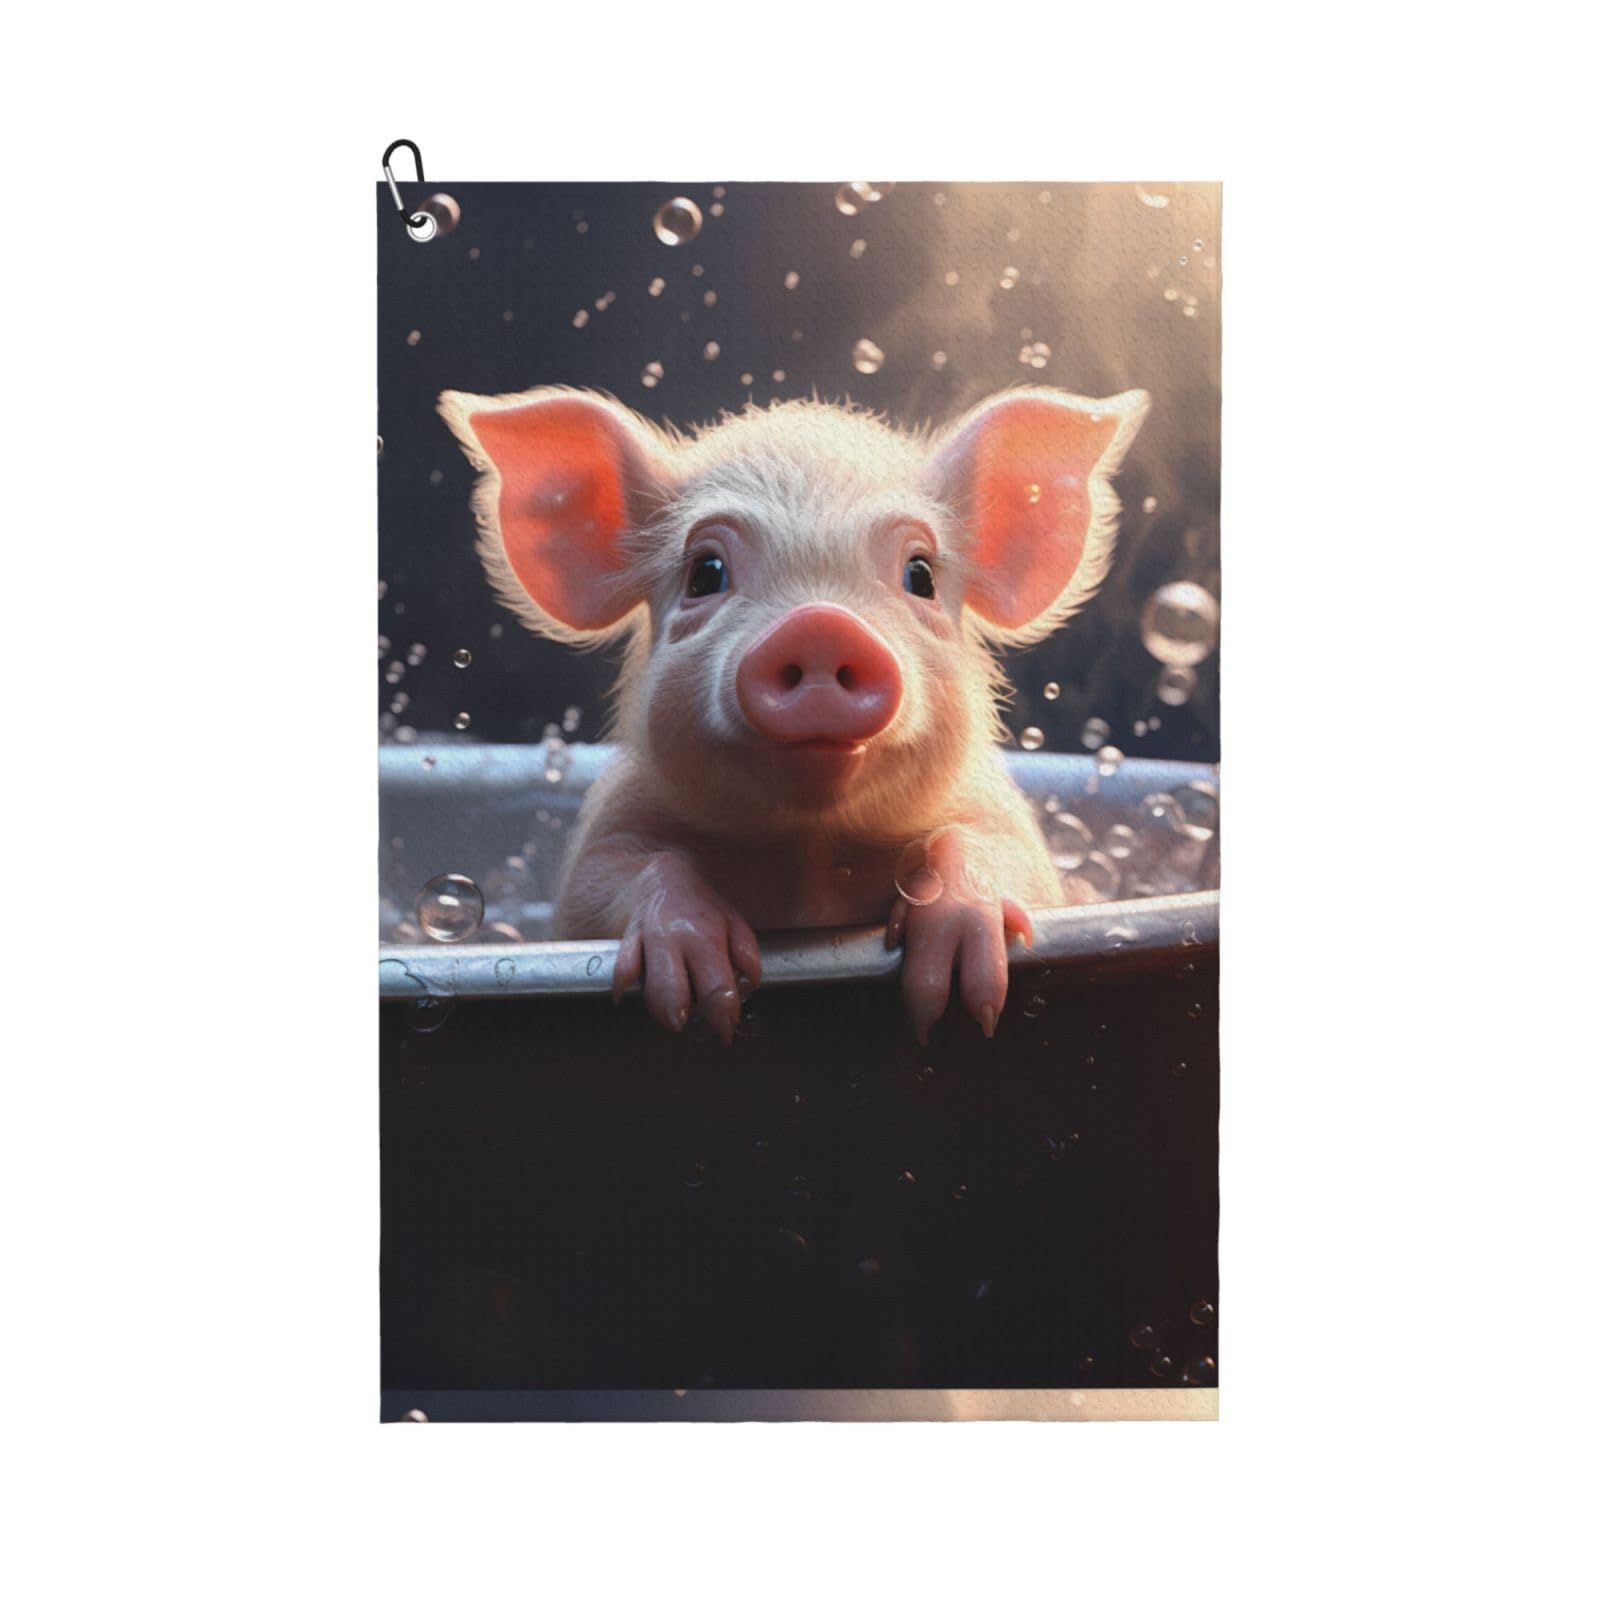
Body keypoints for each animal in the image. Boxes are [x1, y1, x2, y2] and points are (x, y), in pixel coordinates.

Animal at [439, 383, 1149, 1044]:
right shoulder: (606, 834)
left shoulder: (1003, 820)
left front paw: (952, 994)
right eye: (705, 572)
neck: (810, 853)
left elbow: (1004, 857)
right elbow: (610, 878)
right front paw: (702, 995)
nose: (820, 624)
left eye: (920, 574)